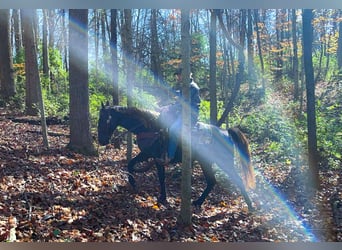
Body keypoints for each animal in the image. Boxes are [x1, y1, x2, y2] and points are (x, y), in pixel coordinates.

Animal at [97, 102, 255, 210]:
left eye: (104, 120)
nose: (101, 140)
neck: (149, 127)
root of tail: (225, 132)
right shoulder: (147, 154)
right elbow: (131, 164)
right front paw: (133, 182)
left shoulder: (155, 156)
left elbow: (161, 177)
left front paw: (162, 197)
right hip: (206, 162)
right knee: (211, 181)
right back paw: (198, 202)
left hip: (223, 162)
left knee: (237, 180)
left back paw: (250, 206)